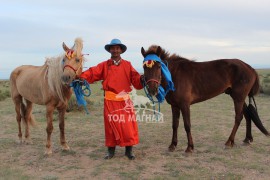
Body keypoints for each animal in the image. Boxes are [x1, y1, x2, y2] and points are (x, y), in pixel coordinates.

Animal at [140, 45, 268, 153]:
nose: (152, 89)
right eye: (144, 67)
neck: (174, 75)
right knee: (247, 115)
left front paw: (190, 147)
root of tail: (250, 67)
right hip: (238, 97)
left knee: (238, 117)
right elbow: (174, 125)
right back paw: (247, 139)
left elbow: (187, 125)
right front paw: (173, 145)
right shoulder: (175, 105)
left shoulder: (184, 104)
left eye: (159, 66)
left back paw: (229, 142)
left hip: (239, 97)